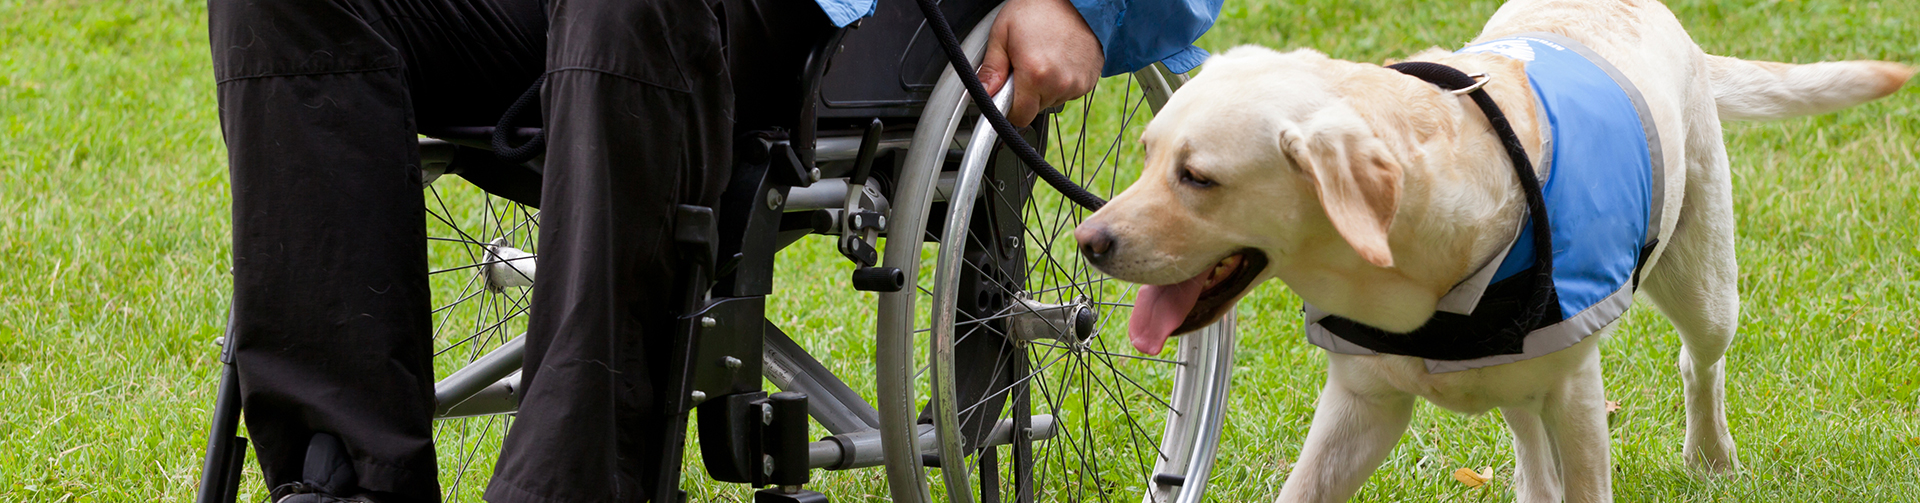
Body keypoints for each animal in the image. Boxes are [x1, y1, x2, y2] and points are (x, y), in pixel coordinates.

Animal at [1075, 0, 1912, 503]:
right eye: (1145, 154)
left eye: (1198, 177)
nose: (1088, 239)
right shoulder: (1361, 406)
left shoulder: (1577, 393)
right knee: (1526, 434)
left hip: (1706, 286)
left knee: (1698, 362)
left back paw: (1710, 456)